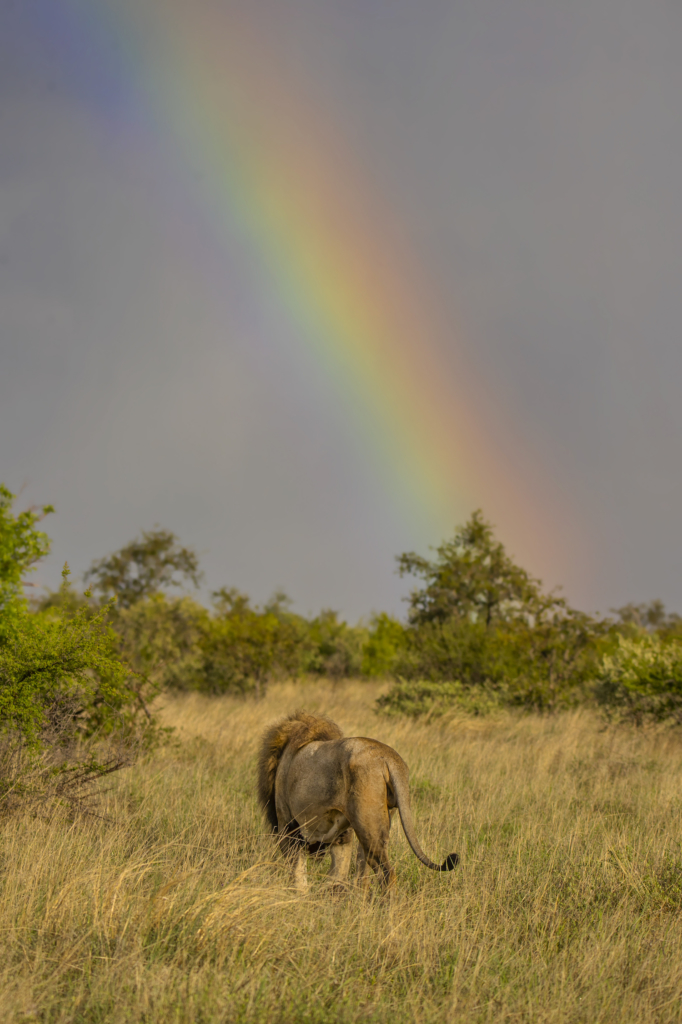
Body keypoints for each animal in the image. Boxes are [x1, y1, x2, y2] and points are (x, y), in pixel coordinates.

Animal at [254, 712, 456, 888]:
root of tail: (388, 758)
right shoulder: (341, 836)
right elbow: (337, 876)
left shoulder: (287, 825)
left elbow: (297, 871)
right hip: (377, 823)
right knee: (364, 872)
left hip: (366, 824)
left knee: (386, 873)